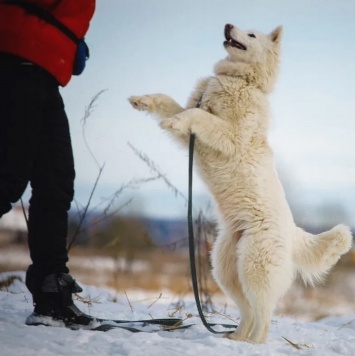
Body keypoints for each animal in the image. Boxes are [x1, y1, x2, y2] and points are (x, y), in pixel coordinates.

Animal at [129, 23, 354, 344]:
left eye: (251, 35)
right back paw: (233, 338)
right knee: (247, 311)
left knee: (264, 316)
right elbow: (171, 103)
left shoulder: (229, 135)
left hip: (254, 267)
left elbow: (196, 114)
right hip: (225, 269)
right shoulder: (191, 137)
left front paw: (172, 120)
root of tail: (292, 231)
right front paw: (143, 100)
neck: (239, 80)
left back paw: (252, 343)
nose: (227, 25)